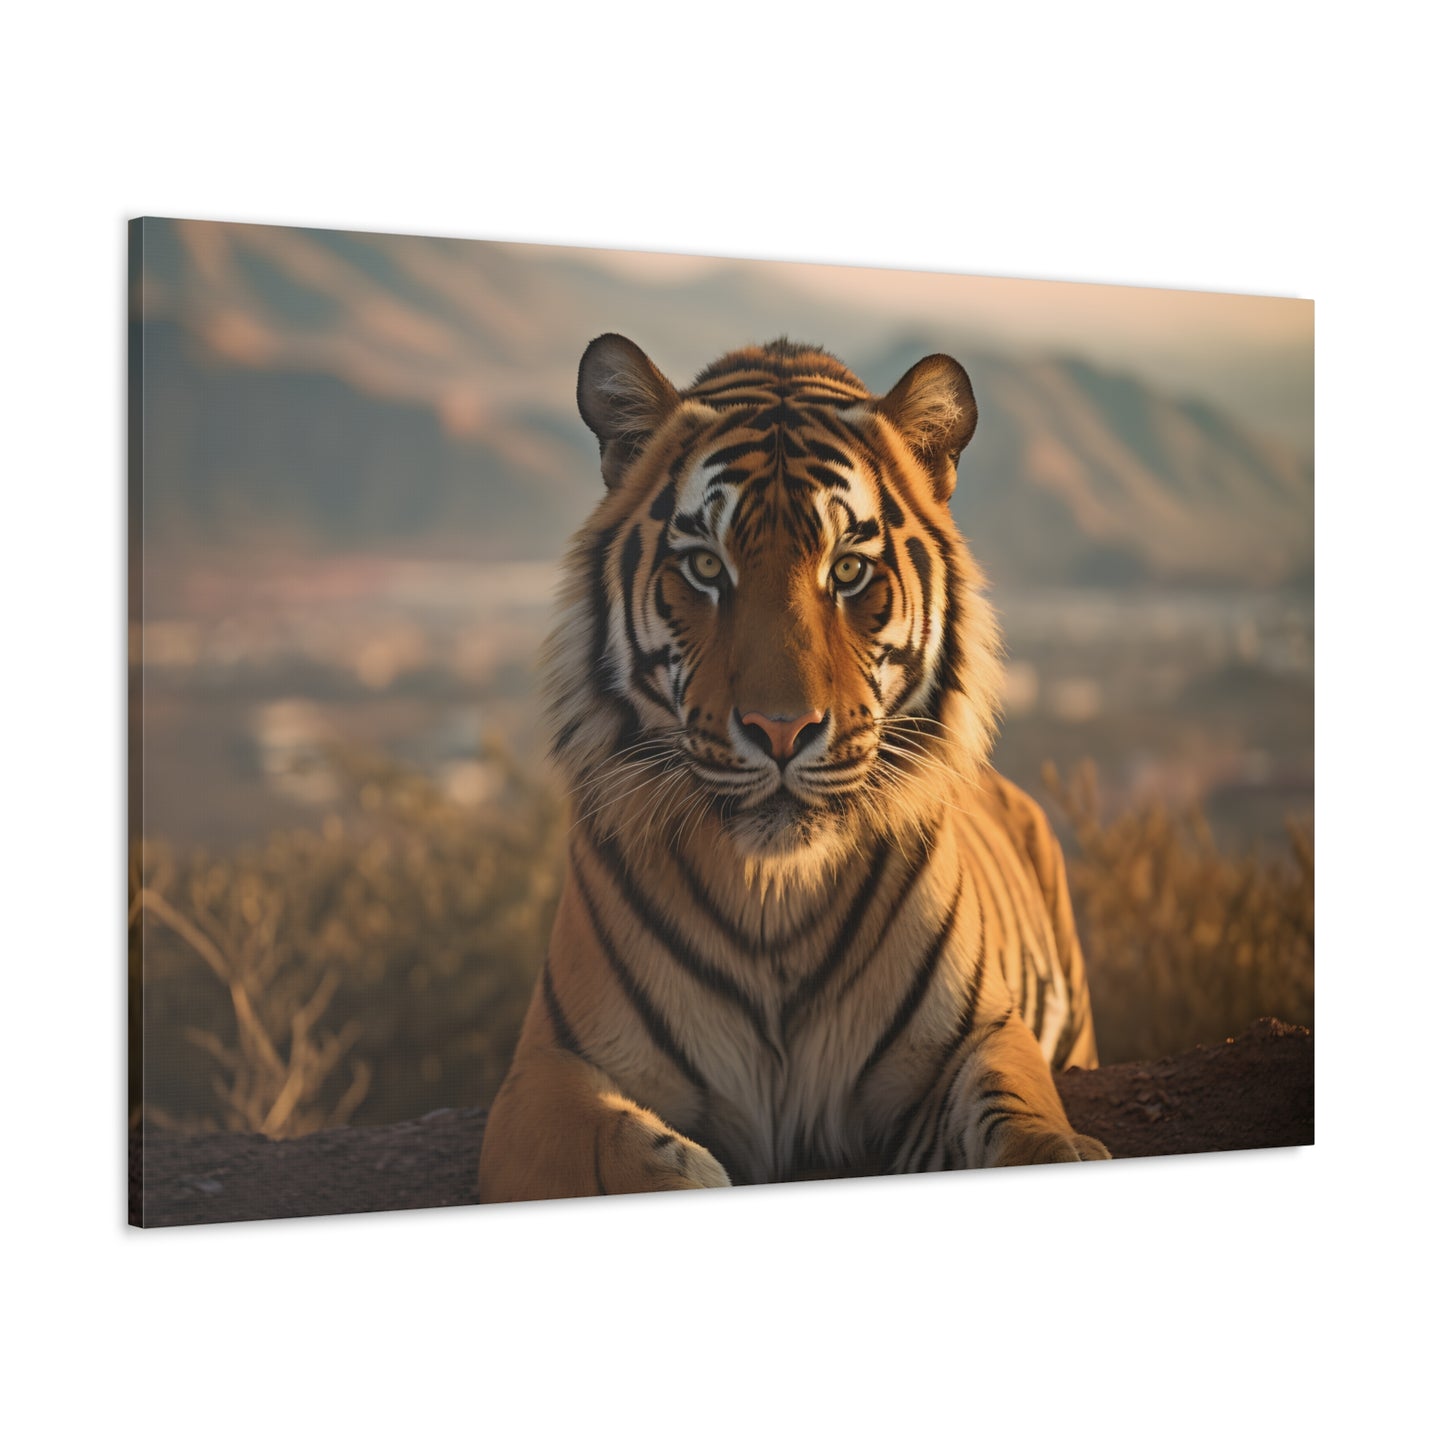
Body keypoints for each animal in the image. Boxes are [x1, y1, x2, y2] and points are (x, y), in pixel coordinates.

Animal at [477, 334, 1109, 1204]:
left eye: (847, 571)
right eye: (706, 567)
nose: (781, 730)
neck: (774, 891)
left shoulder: (972, 1038)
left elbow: (1016, 1115)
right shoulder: (549, 1072)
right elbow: (626, 1153)